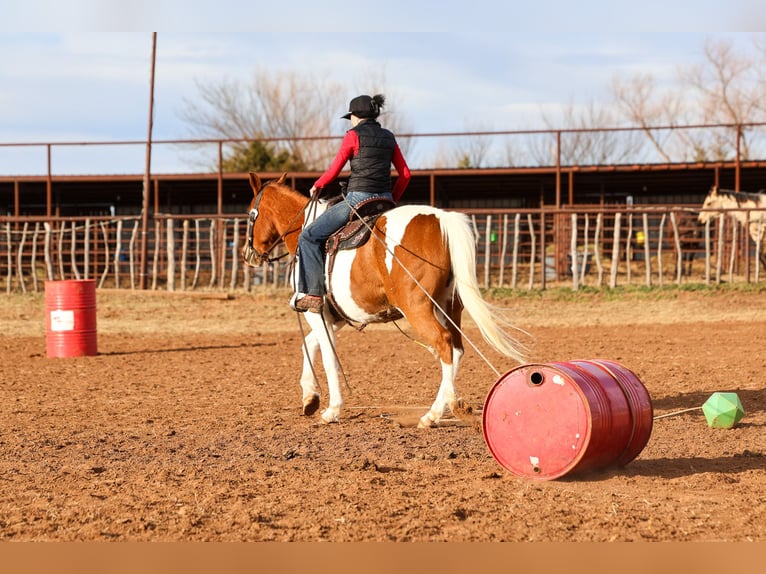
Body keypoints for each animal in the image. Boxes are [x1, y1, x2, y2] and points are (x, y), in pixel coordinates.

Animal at [241, 173, 526, 428]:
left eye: (251, 214)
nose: (247, 254)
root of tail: (441, 218)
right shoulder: (336, 317)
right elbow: (309, 345)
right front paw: (310, 398)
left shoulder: (316, 312)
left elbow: (328, 357)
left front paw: (331, 410)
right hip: (449, 307)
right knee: (456, 349)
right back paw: (452, 404)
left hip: (418, 308)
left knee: (444, 344)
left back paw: (431, 415)